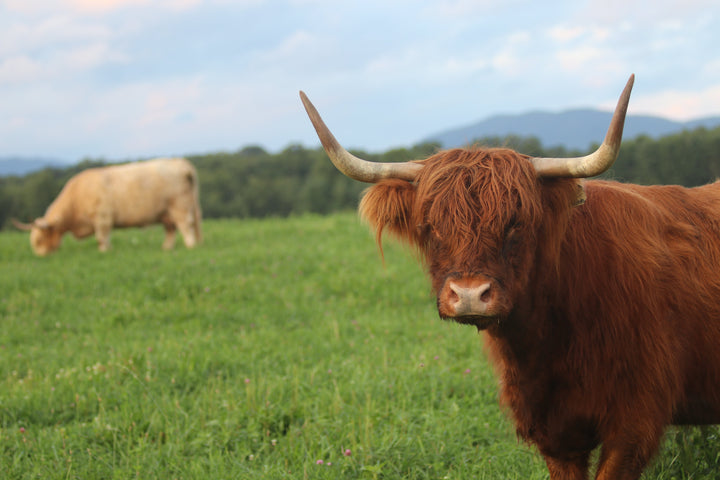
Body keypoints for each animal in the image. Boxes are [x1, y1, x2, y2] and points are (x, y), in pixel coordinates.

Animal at [13, 157, 202, 256]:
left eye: (39, 239)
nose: (39, 255)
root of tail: (180, 163)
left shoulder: (102, 217)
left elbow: (101, 237)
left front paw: (104, 251)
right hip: (167, 212)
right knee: (171, 230)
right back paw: (166, 248)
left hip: (179, 206)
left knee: (186, 226)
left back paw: (191, 245)